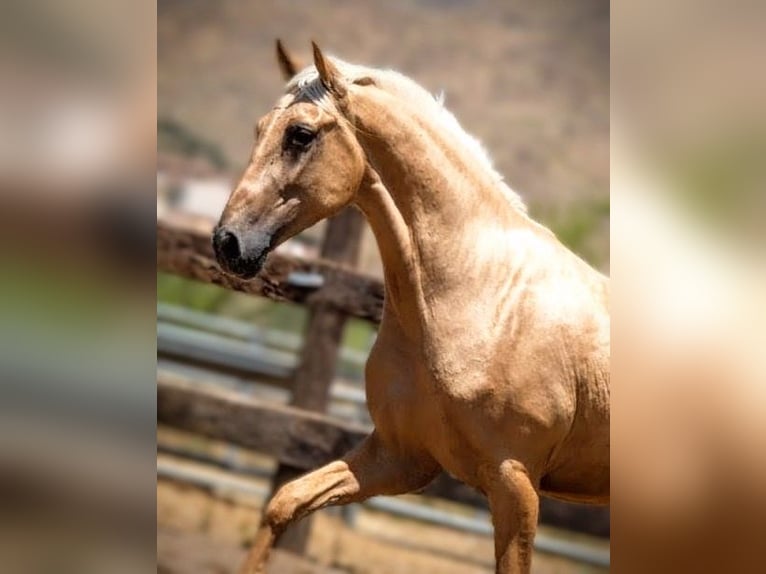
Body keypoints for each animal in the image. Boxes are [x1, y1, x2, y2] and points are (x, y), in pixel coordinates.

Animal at [213, 41, 610, 574]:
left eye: (300, 134)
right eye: (258, 129)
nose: (227, 243)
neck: (481, 295)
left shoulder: (515, 482)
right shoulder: (400, 457)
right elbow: (286, 502)